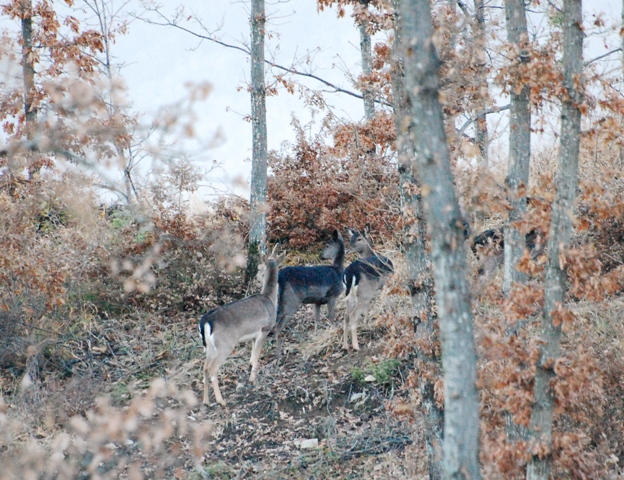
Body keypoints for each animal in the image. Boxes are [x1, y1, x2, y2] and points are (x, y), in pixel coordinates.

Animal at [197, 246, 286, 406]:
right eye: (259, 268)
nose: (256, 276)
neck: (270, 299)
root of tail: (205, 322)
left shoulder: (253, 336)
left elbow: (252, 357)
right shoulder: (264, 329)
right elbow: (256, 357)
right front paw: (253, 380)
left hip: (209, 347)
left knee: (205, 367)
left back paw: (206, 401)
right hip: (225, 344)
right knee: (212, 368)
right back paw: (221, 401)